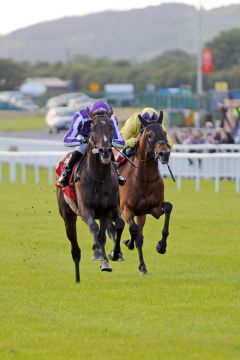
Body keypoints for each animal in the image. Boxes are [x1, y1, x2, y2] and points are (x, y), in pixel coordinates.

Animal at [56, 109, 124, 282]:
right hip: (68, 217)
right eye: (92, 128)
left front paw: (106, 261)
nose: (105, 151)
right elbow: (94, 227)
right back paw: (77, 278)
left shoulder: (107, 210)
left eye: (110, 127)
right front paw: (98, 253)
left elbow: (103, 235)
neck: (98, 177)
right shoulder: (85, 208)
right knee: (75, 249)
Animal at [118, 111, 172, 274]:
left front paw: (161, 246)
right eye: (149, 134)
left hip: (142, 213)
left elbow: (168, 207)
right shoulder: (126, 208)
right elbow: (133, 229)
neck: (144, 179)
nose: (164, 154)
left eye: (164, 133)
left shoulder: (153, 208)